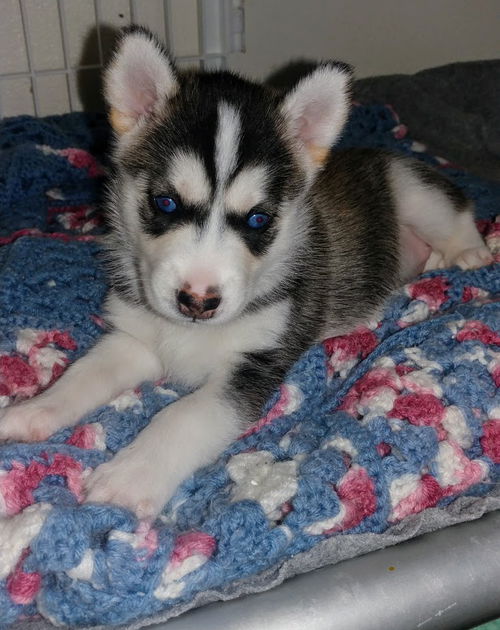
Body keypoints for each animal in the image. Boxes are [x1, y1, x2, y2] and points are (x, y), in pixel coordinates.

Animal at [0, 27, 492, 520]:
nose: (198, 301)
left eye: (258, 219)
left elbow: (184, 415)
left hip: (414, 190)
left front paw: (129, 478)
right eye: (166, 203)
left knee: (459, 215)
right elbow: (85, 373)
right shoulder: (134, 338)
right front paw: (36, 410)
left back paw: (472, 254)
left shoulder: (255, 363)